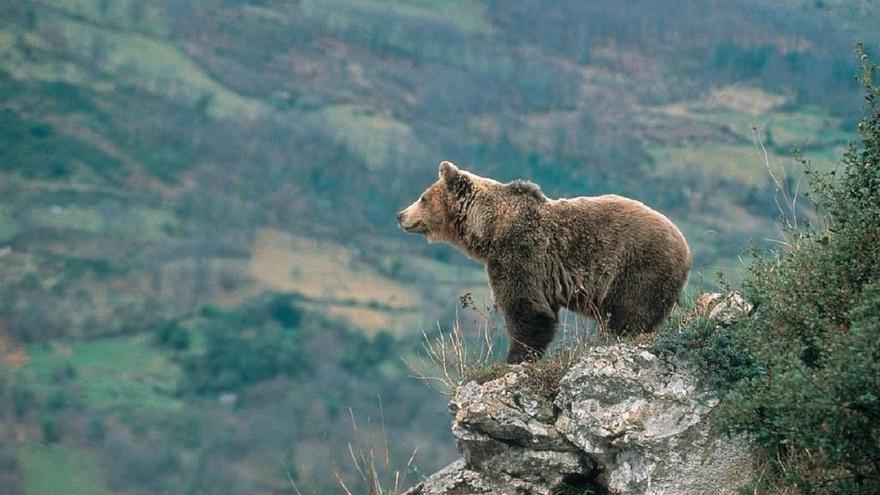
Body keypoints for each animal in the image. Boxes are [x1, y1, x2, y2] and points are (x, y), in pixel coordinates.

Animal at [398, 163, 696, 364]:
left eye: (423, 197)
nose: (400, 214)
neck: (489, 230)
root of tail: (686, 247)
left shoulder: (520, 254)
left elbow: (526, 308)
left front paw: (515, 357)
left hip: (638, 267)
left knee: (629, 313)